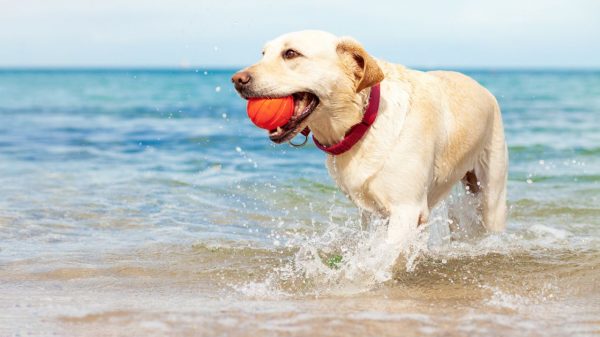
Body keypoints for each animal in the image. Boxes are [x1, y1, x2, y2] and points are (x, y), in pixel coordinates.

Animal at [232, 30, 508, 243]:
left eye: (290, 54)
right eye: (263, 54)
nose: (237, 79)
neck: (363, 122)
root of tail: (483, 88)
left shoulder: (407, 210)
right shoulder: (371, 213)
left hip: (491, 196)